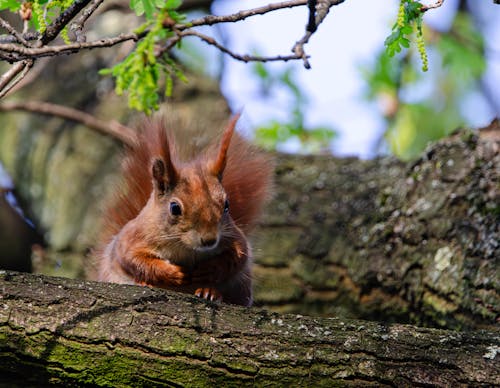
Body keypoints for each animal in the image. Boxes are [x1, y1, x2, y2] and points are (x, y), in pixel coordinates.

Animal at [94, 115, 274, 306]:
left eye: (227, 205)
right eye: (175, 208)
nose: (209, 240)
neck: (186, 248)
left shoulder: (233, 236)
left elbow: (239, 254)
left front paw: (210, 269)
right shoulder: (132, 238)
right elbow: (132, 259)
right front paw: (173, 273)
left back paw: (210, 292)